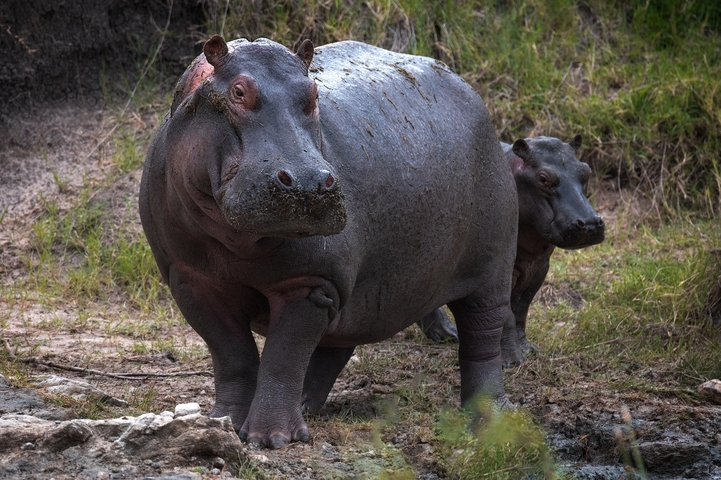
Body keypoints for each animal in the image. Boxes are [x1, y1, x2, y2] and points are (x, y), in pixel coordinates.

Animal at [139, 35, 518, 449]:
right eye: (238, 91)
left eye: (313, 93)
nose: (308, 183)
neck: (237, 241)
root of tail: (467, 89)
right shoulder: (190, 281)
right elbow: (232, 357)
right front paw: (222, 422)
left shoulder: (310, 283)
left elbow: (283, 358)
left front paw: (270, 439)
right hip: (363, 288)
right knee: (337, 344)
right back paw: (307, 404)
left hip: (492, 267)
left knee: (482, 339)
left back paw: (489, 420)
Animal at [418, 136, 605, 366]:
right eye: (543, 178)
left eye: (586, 170)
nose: (590, 224)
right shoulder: (500, 270)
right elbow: (506, 314)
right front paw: (511, 361)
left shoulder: (540, 266)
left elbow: (521, 309)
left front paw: (528, 350)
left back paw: (448, 334)